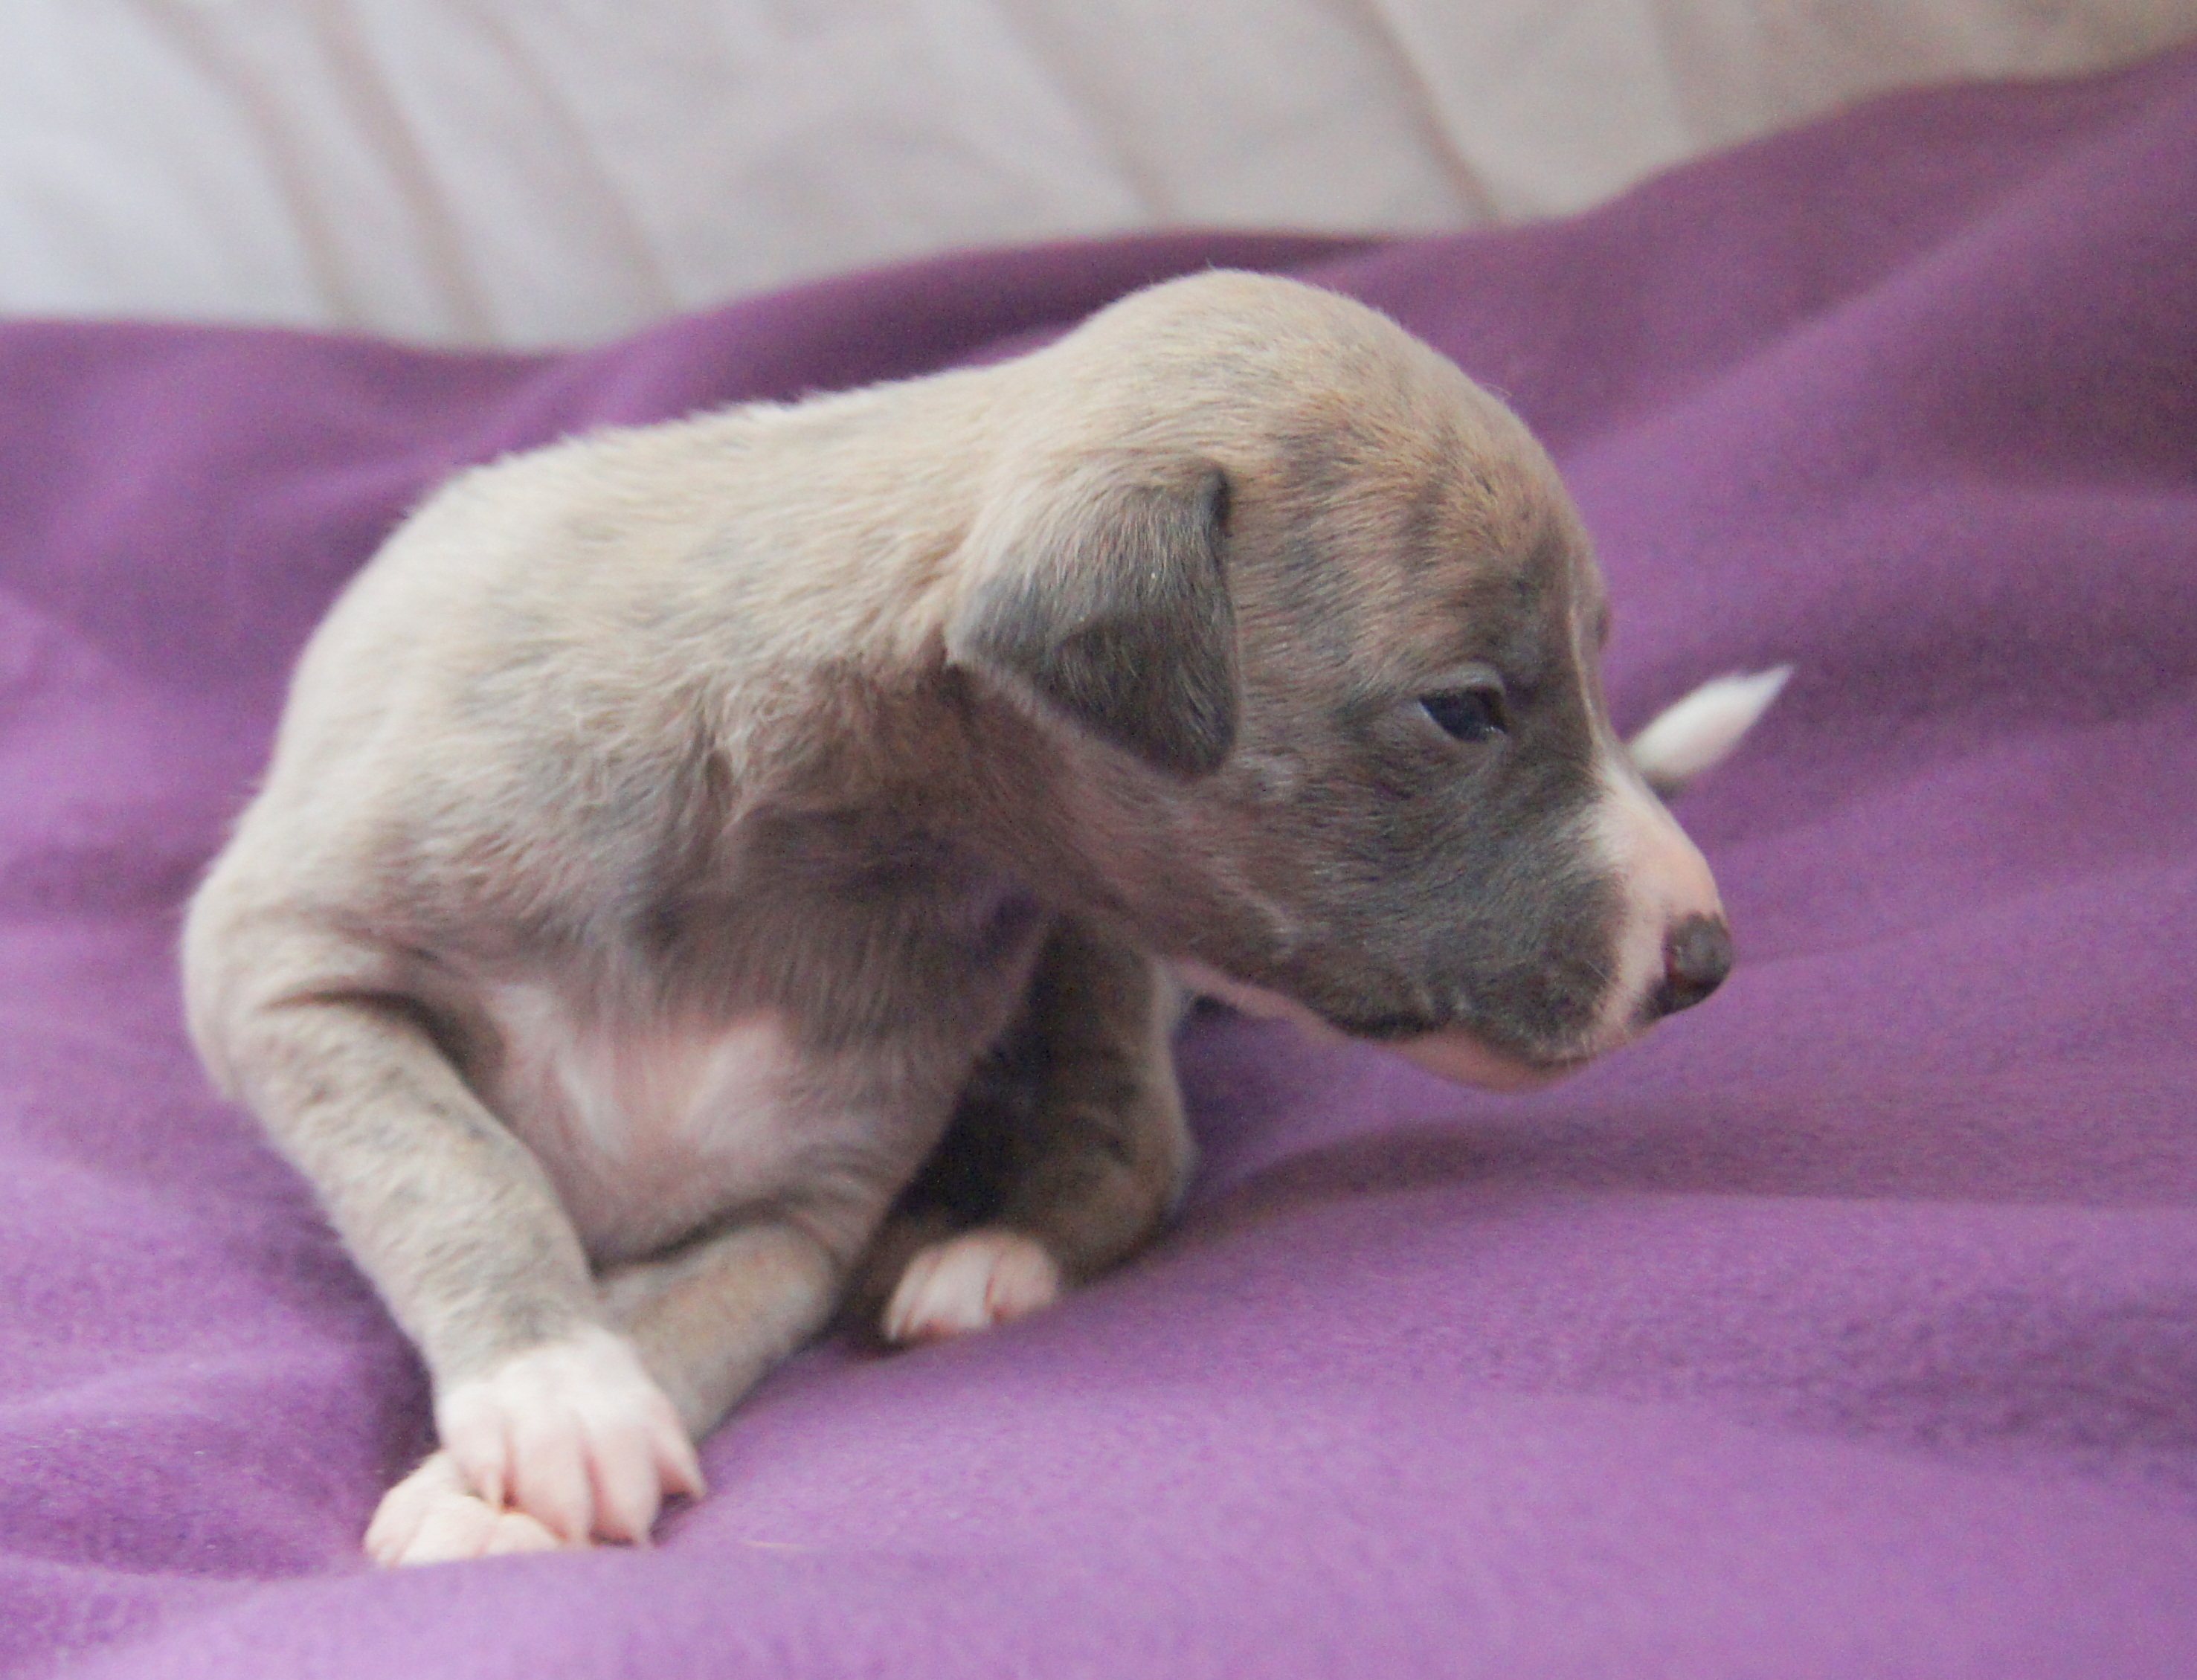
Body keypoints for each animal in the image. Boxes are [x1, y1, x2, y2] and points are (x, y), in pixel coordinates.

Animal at [181, 271, 1783, 1566]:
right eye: (1464, 706)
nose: (1703, 957)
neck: (797, 816)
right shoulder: (281, 966)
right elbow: (453, 1163)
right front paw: (555, 1396)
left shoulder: (798, 1211)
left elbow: (693, 1313)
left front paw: (506, 1471)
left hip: (1097, 946)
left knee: (1136, 1145)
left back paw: (989, 1250)